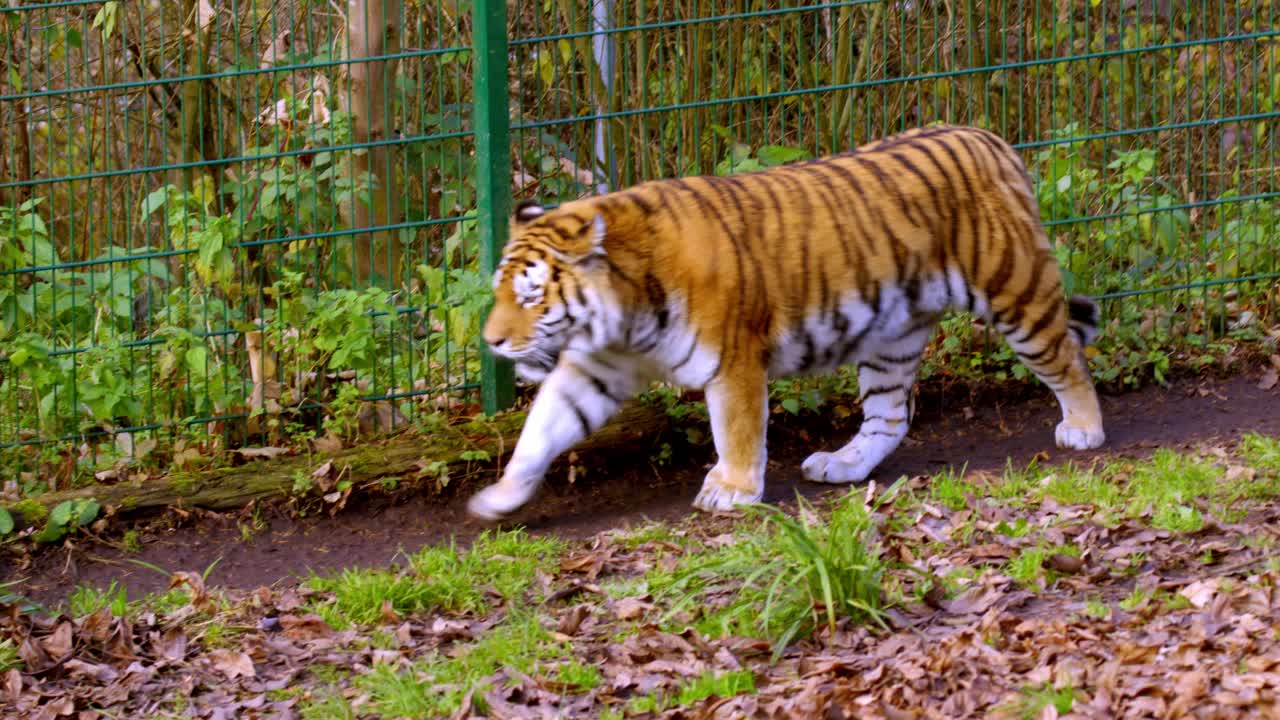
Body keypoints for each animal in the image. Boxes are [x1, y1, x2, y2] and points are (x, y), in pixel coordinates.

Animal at [465, 121, 1105, 515]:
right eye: (501, 293)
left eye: (530, 296)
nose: (492, 341)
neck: (623, 314)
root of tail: (990, 138)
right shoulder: (595, 368)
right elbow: (541, 429)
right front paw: (500, 496)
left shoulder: (733, 359)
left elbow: (738, 430)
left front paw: (732, 490)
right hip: (892, 335)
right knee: (889, 415)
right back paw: (842, 464)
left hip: (1014, 291)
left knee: (1067, 357)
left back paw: (1083, 428)